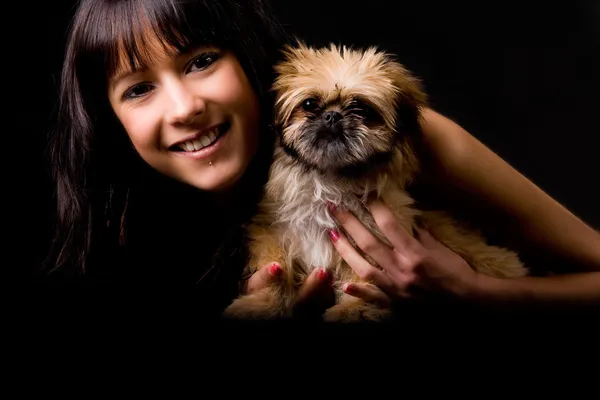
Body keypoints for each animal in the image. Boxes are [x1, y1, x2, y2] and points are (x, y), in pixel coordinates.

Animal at [223, 40, 528, 322]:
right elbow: (276, 269)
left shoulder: (375, 237)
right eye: (309, 104)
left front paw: (355, 309)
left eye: (361, 109)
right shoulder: (273, 233)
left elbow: (360, 278)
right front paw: (262, 304)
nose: (332, 115)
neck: (330, 178)